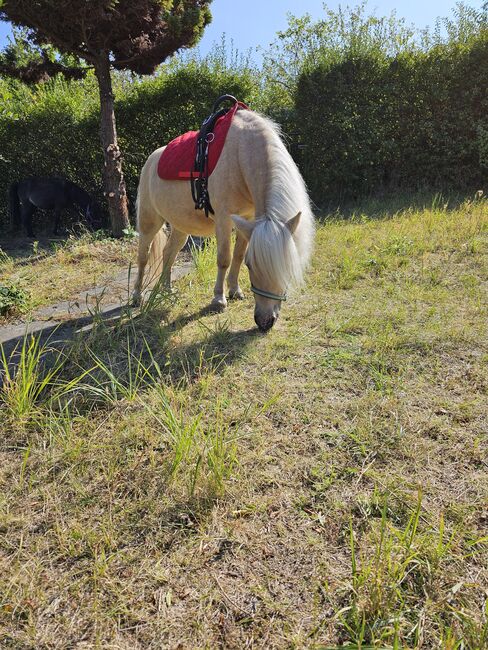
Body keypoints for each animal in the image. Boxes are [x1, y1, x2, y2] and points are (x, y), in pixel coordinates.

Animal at [134, 110, 316, 330]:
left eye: (287, 267)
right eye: (251, 266)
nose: (264, 321)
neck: (240, 156)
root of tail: (151, 160)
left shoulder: (247, 219)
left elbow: (237, 255)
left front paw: (234, 290)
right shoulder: (223, 219)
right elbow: (224, 258)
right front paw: (218, 300)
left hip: (180, 226)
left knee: (168, 252)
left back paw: (166, 290)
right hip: (149, 222)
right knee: (143, 257)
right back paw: (136, 296)